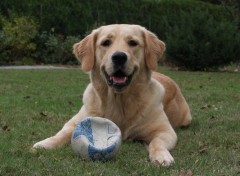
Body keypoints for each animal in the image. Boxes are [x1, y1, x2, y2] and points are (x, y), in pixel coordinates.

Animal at [33, 24, 191, 166]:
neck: (118, 101)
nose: (119, 57)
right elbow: (62, 134)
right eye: (106, 42)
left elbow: (157, 142)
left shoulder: (165, 131)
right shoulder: (74, 122)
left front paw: (162, 156)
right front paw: (44, 144)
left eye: (133, 42)